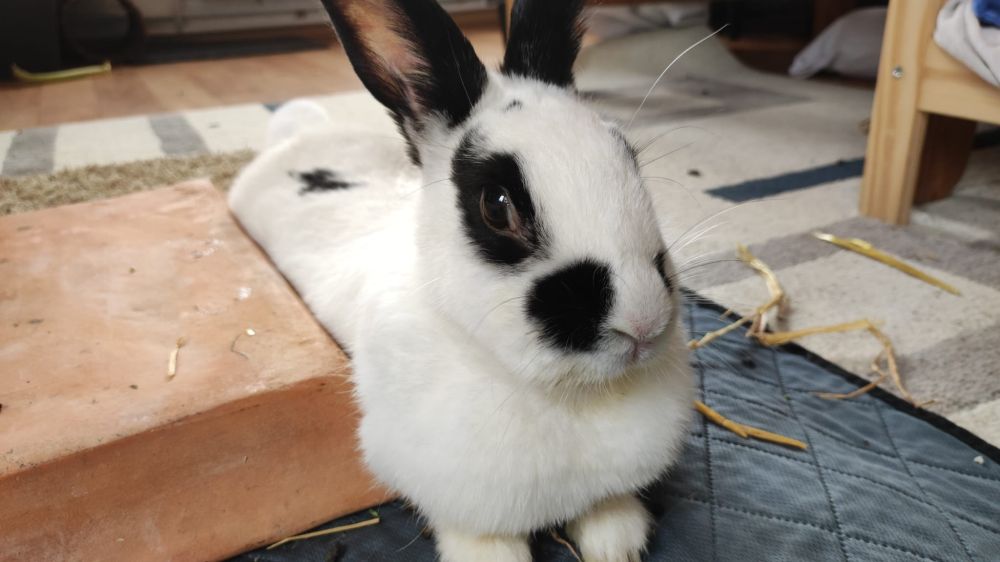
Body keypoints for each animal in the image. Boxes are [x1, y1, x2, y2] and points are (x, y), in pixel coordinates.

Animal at [228, 1, 694, 560]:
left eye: (628, 155)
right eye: (496, 205)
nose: (642, 322)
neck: (566, 393)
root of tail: (298, 136)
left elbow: (606, 505)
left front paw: (617, 541)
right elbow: (478, 533)